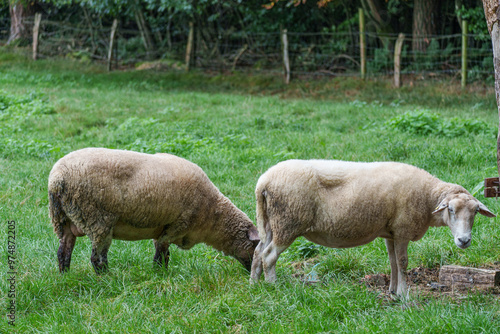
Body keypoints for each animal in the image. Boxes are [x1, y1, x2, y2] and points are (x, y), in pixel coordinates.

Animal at [48, 149, 260, 274]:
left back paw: (65, 275)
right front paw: (161, 273)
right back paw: (107, 278)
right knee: (97, 257)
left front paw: (160, 273)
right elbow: (162, 253)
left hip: (62, 220)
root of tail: (57, 179)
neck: (212, 214)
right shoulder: (176, 225)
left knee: (63, 251)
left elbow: (162, 251)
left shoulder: (163, 227)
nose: (253, 273)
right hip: (98, 220)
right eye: (256, 246)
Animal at [250, 160, 496, 296]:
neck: (427, 197)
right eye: (451, 210)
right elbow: (403, 262)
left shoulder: (391, 232)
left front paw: (393, 291)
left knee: (258, 252)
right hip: (288, 222)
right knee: (269, 255)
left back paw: (254, 285)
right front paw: (404, 295)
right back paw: (273, 287)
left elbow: (393, 262)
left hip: (271, 222)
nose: (464, 241)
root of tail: (263, 182)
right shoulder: (403, 229)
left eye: (475, 212)